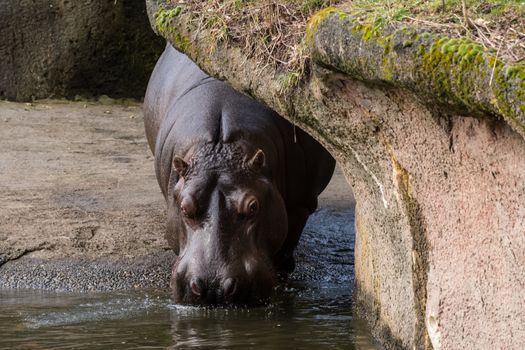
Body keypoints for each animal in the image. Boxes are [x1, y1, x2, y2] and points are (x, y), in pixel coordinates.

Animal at [141, 44, 334, 306]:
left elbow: (286, 249)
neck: (221, 148)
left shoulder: (300, 204)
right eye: (184, 208)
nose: (214, 286)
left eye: (253, 206)